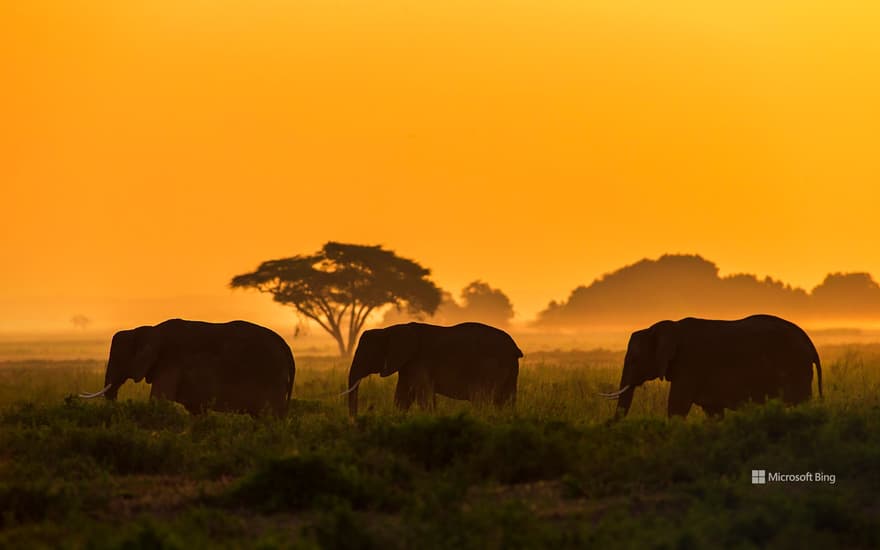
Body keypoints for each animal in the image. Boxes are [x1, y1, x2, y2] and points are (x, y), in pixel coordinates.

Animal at [342, 322, 524, 416]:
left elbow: (423, 395)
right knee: (506, 400)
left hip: (490, 366)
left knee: (481, 398)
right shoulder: (407, 364)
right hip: (510, 369)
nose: (355, 421)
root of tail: (514, 348)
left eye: (367, 354)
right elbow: (403, 397)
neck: (389, 329)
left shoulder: (418, 361)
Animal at [600, 314, 820, 418]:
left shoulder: (689, 364)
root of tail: (808, 341)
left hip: (795, 367)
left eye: (634, 359)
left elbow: (677, 407)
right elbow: (713, 412)